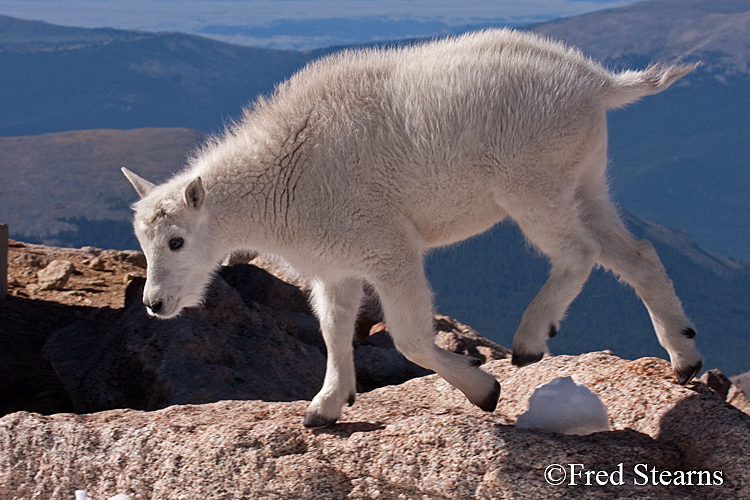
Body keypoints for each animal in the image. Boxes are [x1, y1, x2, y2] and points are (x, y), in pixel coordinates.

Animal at [123, 28, 704, 426]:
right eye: (143, 244)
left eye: (177, 241)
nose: (154, 304)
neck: (281, 175)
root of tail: (598, 83)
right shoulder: (335, 267)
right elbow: (334, 329)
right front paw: (325, 406)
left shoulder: (386, 247)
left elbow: (407, 337)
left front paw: (484, 390)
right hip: (583, 178)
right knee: (635, 253)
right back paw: (685, 358)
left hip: (530, 182)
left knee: (577, 252)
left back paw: (529, 340)